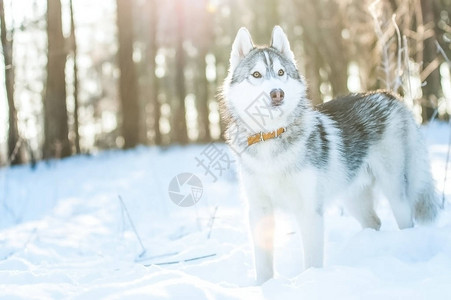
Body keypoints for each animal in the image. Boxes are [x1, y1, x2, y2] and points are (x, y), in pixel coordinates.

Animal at [222, 25, 442, 284]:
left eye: (280, 72)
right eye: (256, 75)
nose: (277, 94)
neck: (272, 137)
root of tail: (390, 96)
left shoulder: (309, 210)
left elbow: (312, 261)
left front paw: (311, 281)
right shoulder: (259, 210)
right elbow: (263, 265)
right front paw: (264, 286)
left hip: (395, 192)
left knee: (406, 221)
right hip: (353, 196)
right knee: (374, 222)